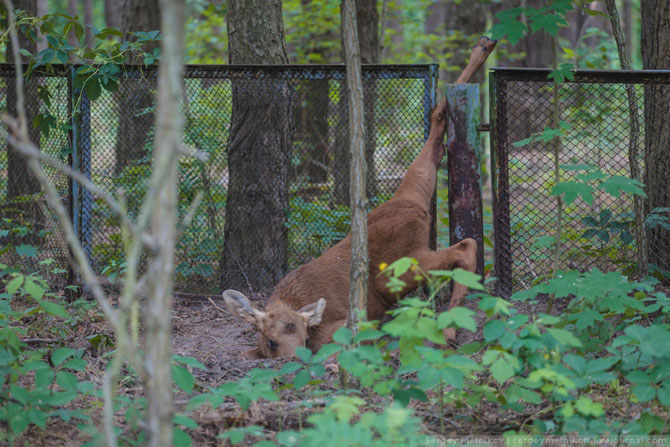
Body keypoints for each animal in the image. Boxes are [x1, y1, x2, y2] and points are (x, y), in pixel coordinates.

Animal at [224, 96, 478, 358]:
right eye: (271, 341)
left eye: (305, 337)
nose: (295, 358)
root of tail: (408, 203)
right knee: (427, 164)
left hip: (392, 271)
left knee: (466, 247)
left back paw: (450, 331)